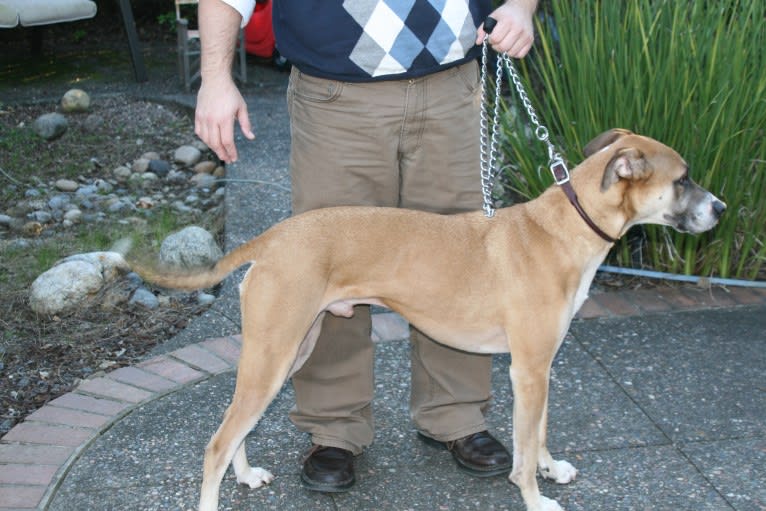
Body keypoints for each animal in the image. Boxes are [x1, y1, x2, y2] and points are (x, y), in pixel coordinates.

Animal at [136, 131, 728, 511]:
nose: (721, 208)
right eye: (684, 179)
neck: (561, 228)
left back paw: (246, 474)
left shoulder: (543, 367)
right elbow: (523, 448)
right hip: (274, 354)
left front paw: (550, 468)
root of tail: (274, 236)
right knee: (218, 440)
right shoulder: (528, 371)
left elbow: (538, 431)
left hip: (287, 350)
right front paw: (536, 498)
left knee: (235, 425)